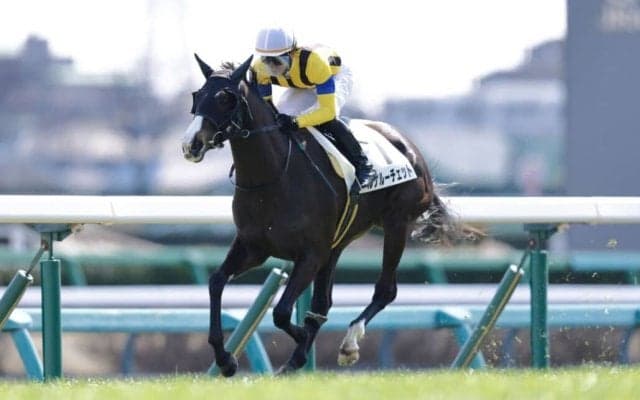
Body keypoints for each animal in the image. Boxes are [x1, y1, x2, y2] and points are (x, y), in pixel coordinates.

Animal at [181, 54, 461, 376]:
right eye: (197, 95)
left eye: (225, 98)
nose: (190, 144)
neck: (274, 176)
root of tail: (412, 150)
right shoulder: (254, 247)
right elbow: (216, 282)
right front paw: (226, 359)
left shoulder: (310, 254)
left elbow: (281, 312)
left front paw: (302, 342)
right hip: (338, 243)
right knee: (324, 301)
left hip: (397, 224)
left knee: (385, 290)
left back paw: (349, 343)